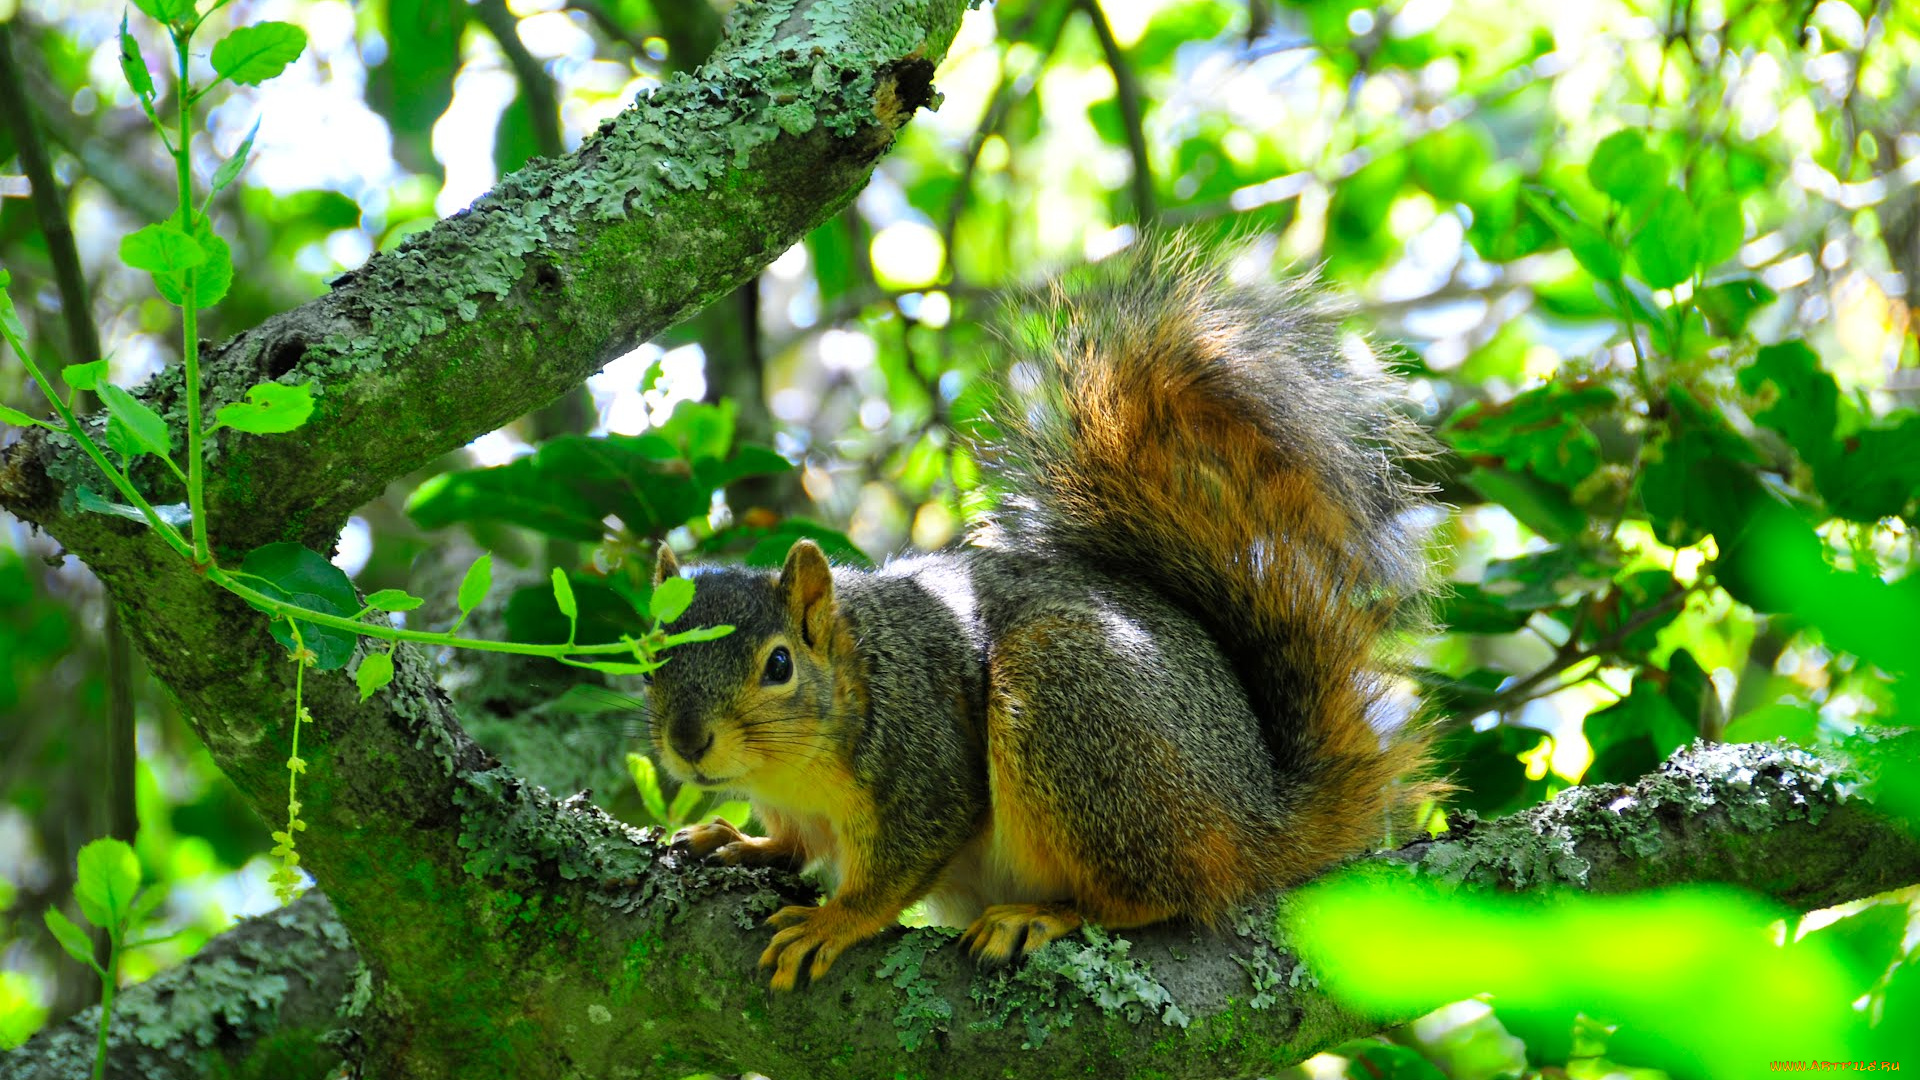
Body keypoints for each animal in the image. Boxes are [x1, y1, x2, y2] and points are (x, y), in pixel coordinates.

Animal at [645, 237, 1443, 991]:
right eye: (649, 658)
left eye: (779, 664)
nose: (688, 741)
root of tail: (1262, 818)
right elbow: (793, 846)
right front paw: (739, 843)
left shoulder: (925, 757)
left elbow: (904, 860)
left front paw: (833, 922)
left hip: (1072, 700)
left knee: (1159, 893)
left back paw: (1043, 915)